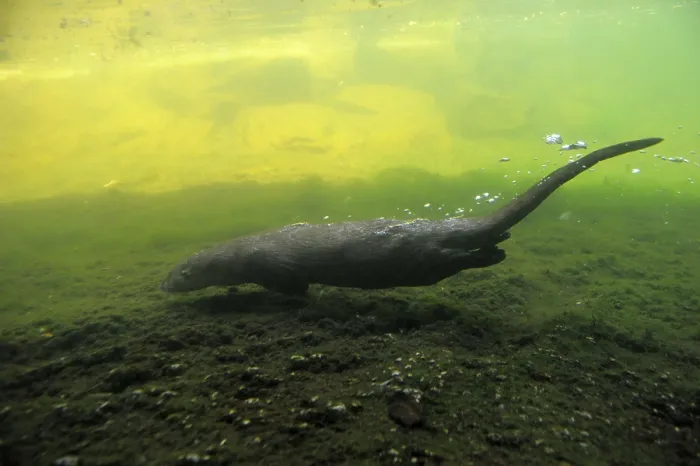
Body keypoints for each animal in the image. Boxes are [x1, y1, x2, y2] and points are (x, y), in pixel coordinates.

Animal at [161, 137, 663, 295]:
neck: (246, 251)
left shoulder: (275, 264)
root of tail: (457, 222)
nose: (163, 285)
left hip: (416, 257)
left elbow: (292, 285)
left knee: (454, 258)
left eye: (184, 272)